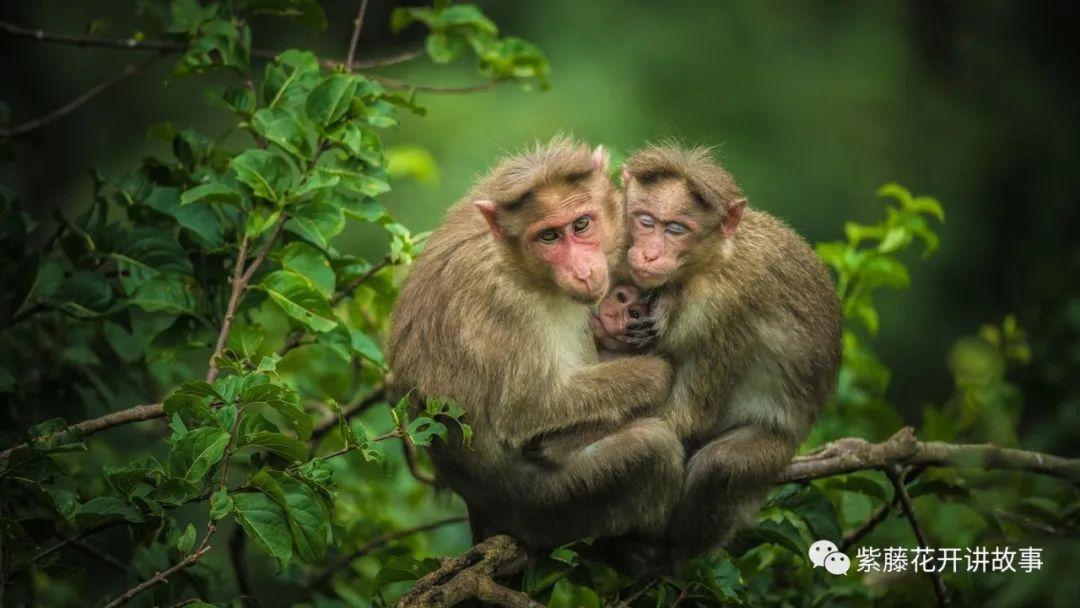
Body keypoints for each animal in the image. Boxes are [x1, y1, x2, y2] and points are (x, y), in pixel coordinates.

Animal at [388, 138, 682, 552]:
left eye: (581, 224)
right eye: (549, 237)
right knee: (651, 446)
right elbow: (525, 410)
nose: (583, 271)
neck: (516, 261)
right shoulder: (506, 303)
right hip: (553, 506)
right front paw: (656, 371)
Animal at [626, 143, 842, 561]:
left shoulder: (725, 308)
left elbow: (685, 417)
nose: (648, 256)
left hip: (775, 450)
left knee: (721, 464)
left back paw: (666, 554)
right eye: (645, 221)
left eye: (675, 229)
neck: (708, 265)